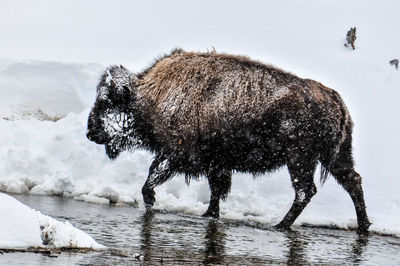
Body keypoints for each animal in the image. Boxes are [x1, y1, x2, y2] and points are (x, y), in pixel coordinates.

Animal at [86, 48, 370, 234]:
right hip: (334, 157)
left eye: (106, 101)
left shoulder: (178, 154)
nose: (90, 133)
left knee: (305, 190)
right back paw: (363, 227)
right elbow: (216, 190)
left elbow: (153, 175)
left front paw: (151, 200)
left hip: (300, 159)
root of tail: (335, 100)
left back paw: (281, 225)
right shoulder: (216, 163)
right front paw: (209, 215)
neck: (152, 95)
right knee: (352, 181)